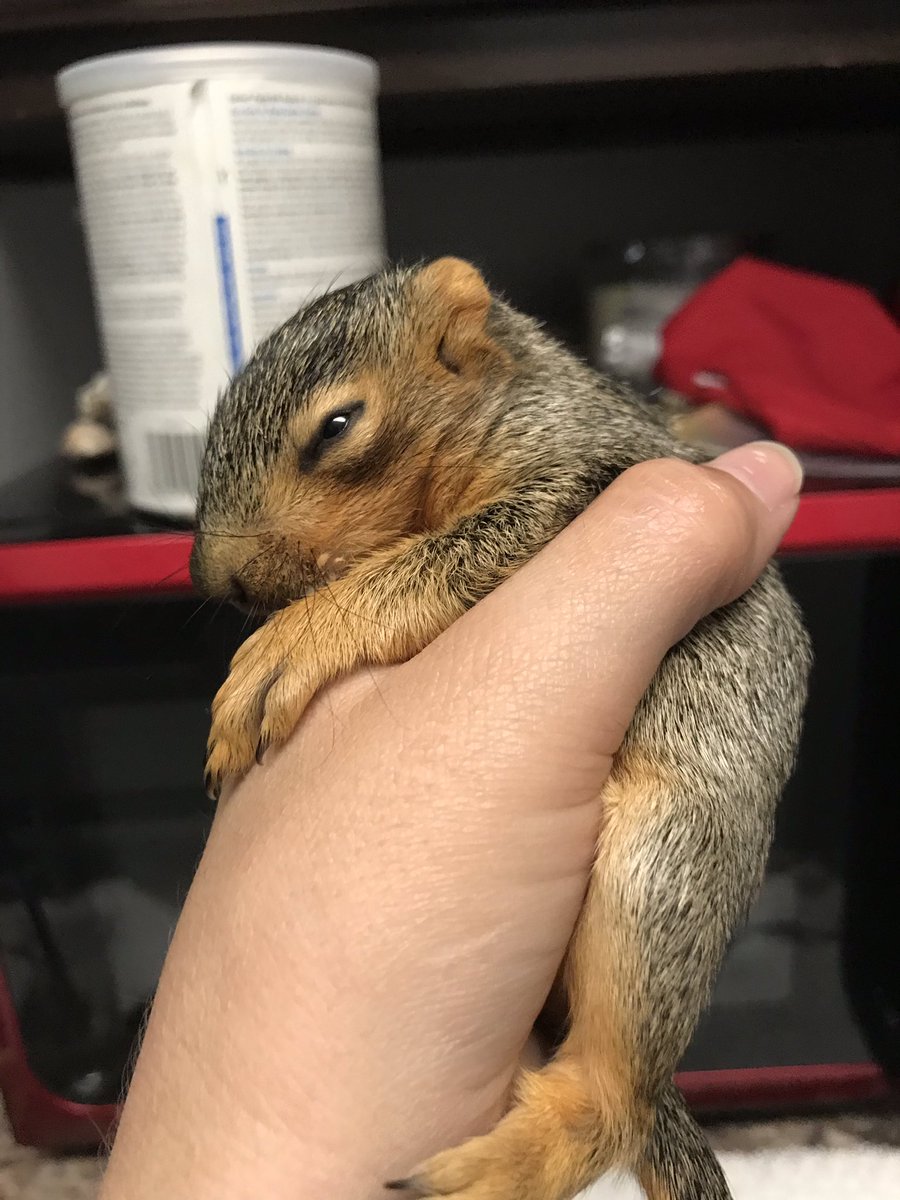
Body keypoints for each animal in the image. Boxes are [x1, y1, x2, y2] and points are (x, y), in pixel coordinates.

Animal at [190, 258, 811, 1200]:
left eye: (337, 426)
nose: (218, 579)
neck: (512, 397)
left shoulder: (582, 482)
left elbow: (431, 563)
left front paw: (292, 644)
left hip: (664, 867)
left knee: (614, 1104)